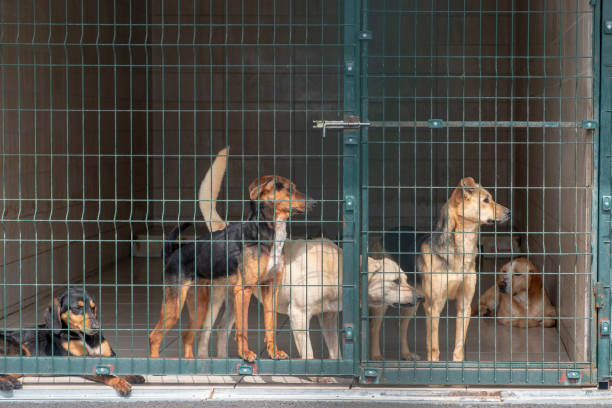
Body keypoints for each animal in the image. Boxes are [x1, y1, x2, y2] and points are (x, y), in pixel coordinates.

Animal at [0, 286, 145, 396]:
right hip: (21, 352)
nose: (96, 327)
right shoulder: (81, 363)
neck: (84, 337)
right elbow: (107, 375)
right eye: (77, 308)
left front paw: (134, 375)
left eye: (93, 308)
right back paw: (7, 383)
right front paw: (120, 382)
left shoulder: (110, 355)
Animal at [148, 174, 310, 362]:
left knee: (187, 336)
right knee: (154, 336)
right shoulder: (243, 290)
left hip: (199, 306)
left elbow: (271, 325)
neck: (263, 232)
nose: (313, 202)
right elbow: (242, 328)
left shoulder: (271, 288)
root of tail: (172, 255)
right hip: (174, 305)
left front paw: (274, 352)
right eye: (288, 189)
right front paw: (245, 353)